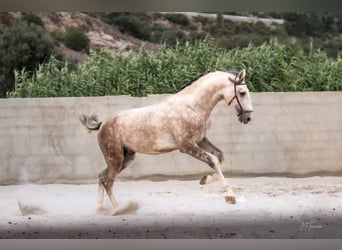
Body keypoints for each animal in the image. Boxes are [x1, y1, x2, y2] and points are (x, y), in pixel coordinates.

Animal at [79, 69, 252, 215]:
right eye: (242, 92)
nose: (248, 117)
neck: (192, 106)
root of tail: (102, 124)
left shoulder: (200, 140)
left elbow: (220, 157)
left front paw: (204, 180)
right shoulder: (186, 146)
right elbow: (213, 160)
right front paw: (230, 196)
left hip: (125, 158)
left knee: (102, 177)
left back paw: (101, 209)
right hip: (116, 159)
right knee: (108, 182)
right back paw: (119, 210)